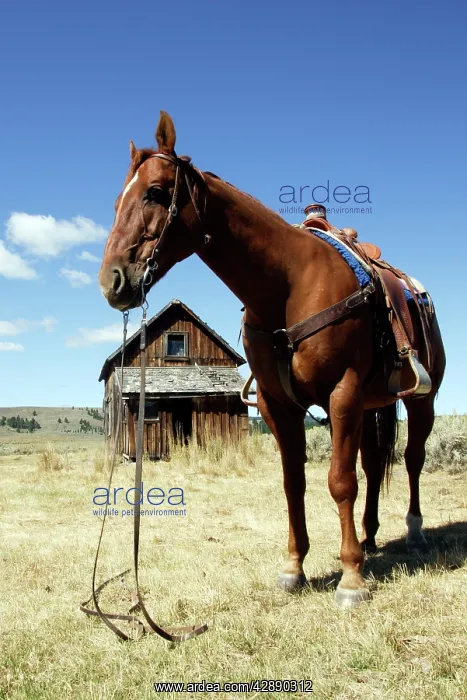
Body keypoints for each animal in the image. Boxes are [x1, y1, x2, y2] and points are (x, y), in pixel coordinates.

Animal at [98, 111, 446, 609]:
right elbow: (293, 482)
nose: (112, 281)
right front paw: (294, 567)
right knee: (375, 464)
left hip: (421, 400)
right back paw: (370, 536)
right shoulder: (278, 405)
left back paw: (411, 533)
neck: (288, 284)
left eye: (156, 192)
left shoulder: (342, 393)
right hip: (372, 405)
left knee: (413, 459)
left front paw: (351, 579)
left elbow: (340, 481)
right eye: (117, 200)